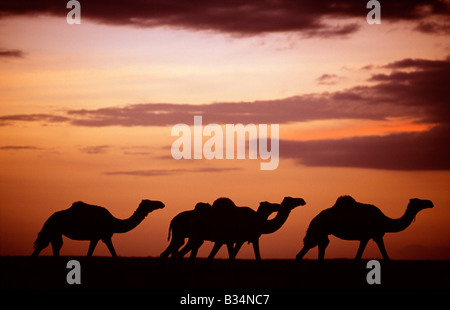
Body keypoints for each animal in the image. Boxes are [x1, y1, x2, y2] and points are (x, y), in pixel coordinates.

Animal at [31, 200, 165, 258]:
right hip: (51, 229)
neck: (113, 222)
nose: (161, 203)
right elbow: (112, 255)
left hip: (55, 232)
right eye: (150, 202)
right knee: (44, 245)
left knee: (54, 246)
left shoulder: (100, 237)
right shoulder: (101, 236)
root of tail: (48, 219)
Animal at [165, 197, 306, 260]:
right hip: (191, 237)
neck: (258, 222)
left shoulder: (236, 240)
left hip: (194, 238)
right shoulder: (241, 239)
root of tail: (172, 220)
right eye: (291, 200)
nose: (302, 200)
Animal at [296, 196, 432, 260]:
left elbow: (358, 257)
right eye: (419, 201)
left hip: (322, 234)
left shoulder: (367, 237)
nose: (430, 202)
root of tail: (313, 220)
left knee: (320, 248)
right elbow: (385, 256)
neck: (383, 220)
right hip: (317, 230)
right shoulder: (373, 235)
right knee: (304, 251)